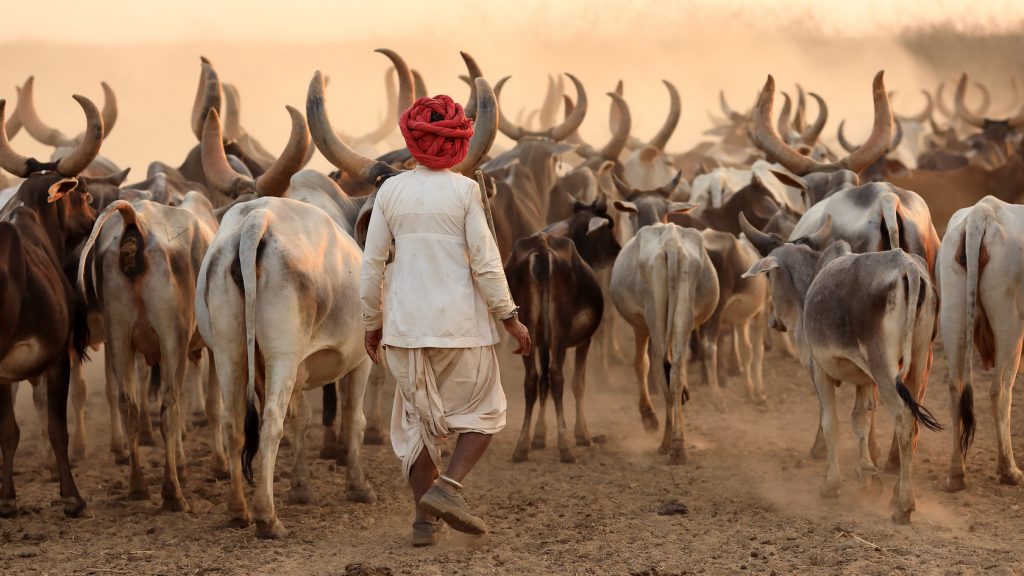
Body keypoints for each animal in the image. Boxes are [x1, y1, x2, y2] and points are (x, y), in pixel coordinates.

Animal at [606, 220, 720, 461]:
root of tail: (671, 243)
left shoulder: (640, 325)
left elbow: (641, 364)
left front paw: (648, 417)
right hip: (683, 316)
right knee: (675, 372)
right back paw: (678, 444)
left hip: (655, 318)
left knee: (661, 370)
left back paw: (667, 442)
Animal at [741, 215, 937, 524]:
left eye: (770, 277)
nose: (773, 321)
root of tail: (906, 267)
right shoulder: (864, 381)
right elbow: (861, 421)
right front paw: (868, 476)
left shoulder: (819, 370)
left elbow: (830, 422)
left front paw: (831, 485)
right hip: (918, 363)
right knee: (914, 425)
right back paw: (897, 495)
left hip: (885, 370)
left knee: (904, 421)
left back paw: (903, 506)